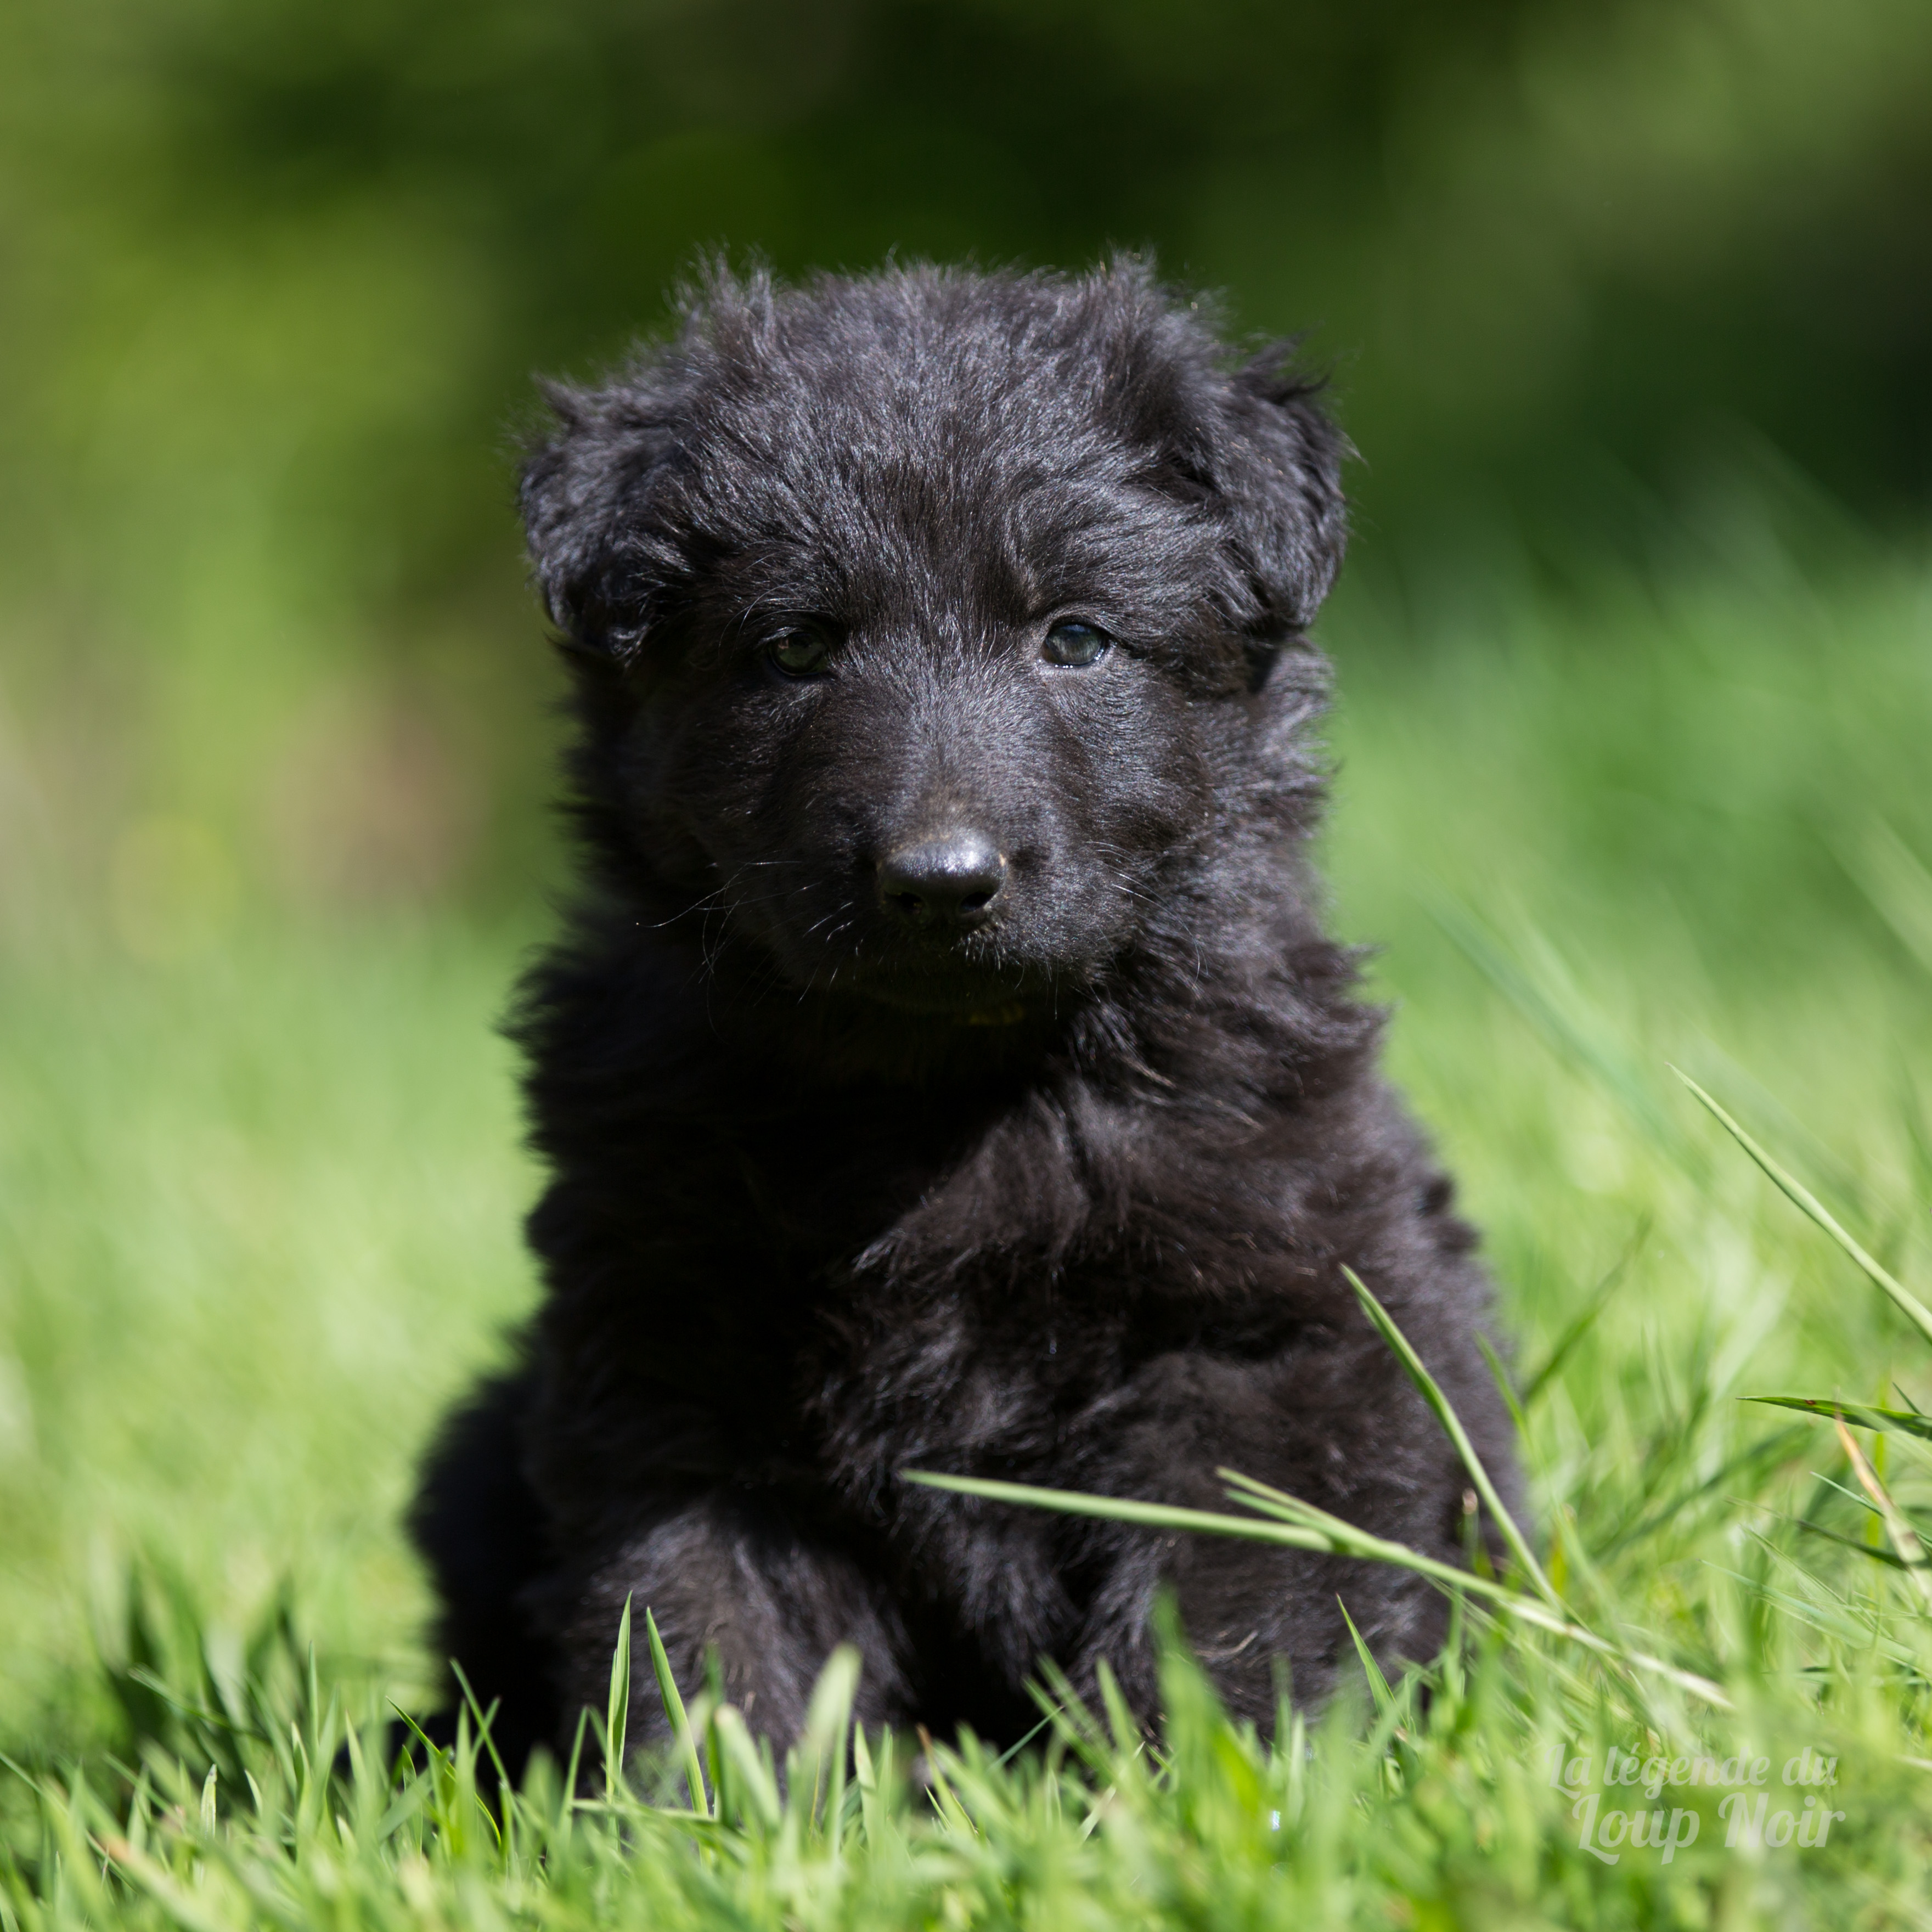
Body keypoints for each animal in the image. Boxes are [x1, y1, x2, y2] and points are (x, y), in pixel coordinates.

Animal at [415, 264, 1514, 1770]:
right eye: (796, 645)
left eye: (1076, 637)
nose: (939, 878)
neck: (941, 1091)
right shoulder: (667, 1355)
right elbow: (705, 1628)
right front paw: (723, 1812)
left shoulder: (1274, 1333)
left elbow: (1238, 1608)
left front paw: (1217, 1787)